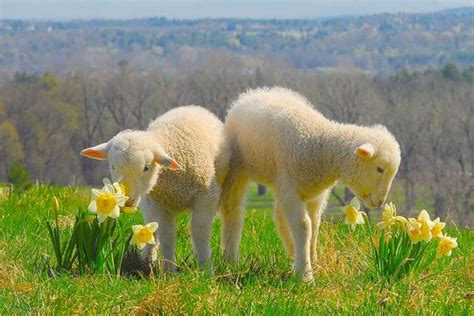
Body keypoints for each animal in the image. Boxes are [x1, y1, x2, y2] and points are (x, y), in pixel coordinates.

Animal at [81, 107, 230, 274]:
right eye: (112, 166)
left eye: (146, 167)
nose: (127, 201)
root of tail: (191, 107)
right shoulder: (161, 204)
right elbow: (167, 235)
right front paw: (169, 271)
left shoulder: (205, 198)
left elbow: (199, 232)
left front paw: (206, 270)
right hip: (150, 202)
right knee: (152, 229)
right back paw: (147, 260)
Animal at [221, 86, 400, 282]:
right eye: (380, 169)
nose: (380, 202)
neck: (320, 147)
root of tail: (255, 92)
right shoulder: (292, 191)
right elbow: (304, 226)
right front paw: (305, 274)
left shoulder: (315, 195)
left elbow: (314, 225)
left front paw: (312, 260)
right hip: (238, 169)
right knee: (233, 211)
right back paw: (230, 260)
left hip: (281, 183)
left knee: (280, 217)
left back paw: (292, 251)